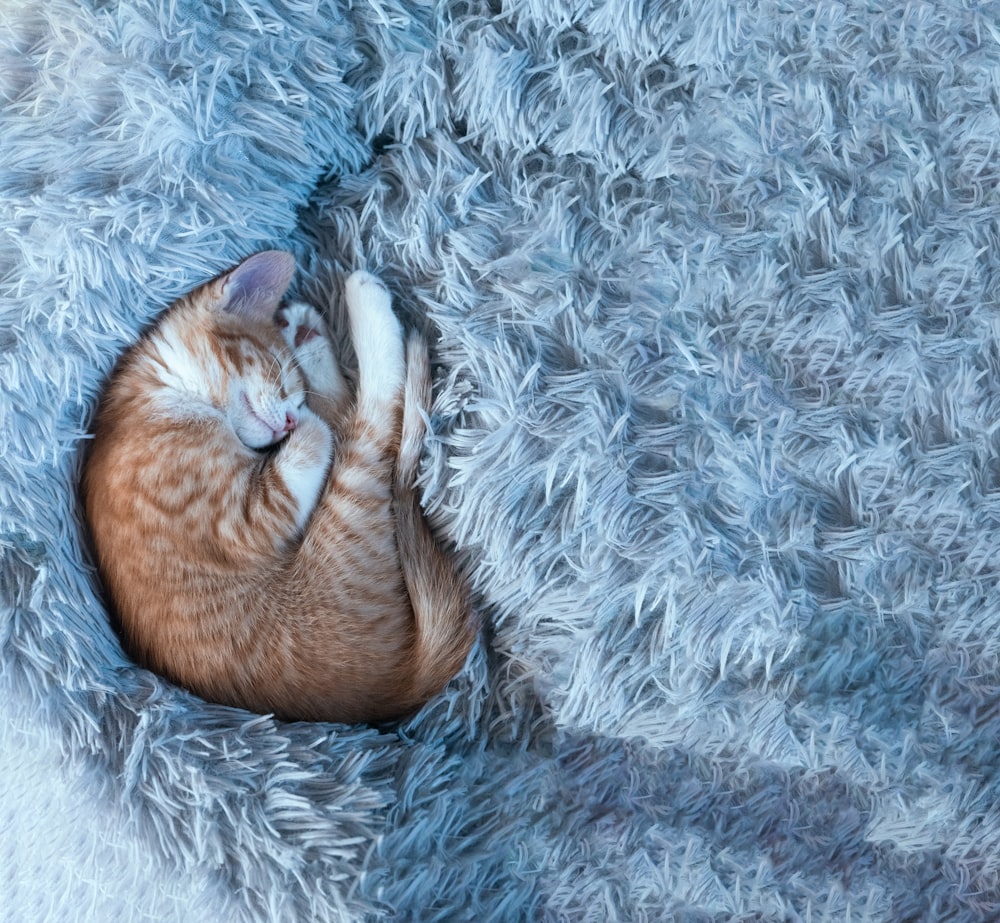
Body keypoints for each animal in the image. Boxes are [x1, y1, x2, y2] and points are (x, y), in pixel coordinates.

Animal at [81, 249, 472, 724]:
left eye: (294, 395)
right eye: (280, 376)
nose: (289, 419)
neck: (157, 396)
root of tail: (400, 688)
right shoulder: (245, 522)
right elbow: (320, 437)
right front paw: (308, 420)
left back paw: (309, 332)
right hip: (347, 515)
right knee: (373, 416)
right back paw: (364, 301)